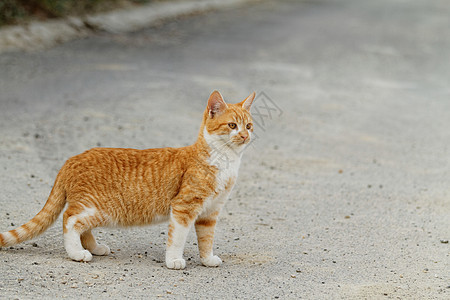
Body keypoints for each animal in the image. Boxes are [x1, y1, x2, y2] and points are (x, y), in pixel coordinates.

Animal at [0, 90, 253, 268]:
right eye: (232, 125)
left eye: (249, 125)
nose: (245, 135)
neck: (224, 160)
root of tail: (72, 158)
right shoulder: (184, 207)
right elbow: (177, 238)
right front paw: (174, 260)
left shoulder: (210, 213)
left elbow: (207, 239)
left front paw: (207, 259)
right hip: (101, 208)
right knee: (70, 219)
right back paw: (77, 253)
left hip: (96, 210)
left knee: (81, 225)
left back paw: (94, 248)